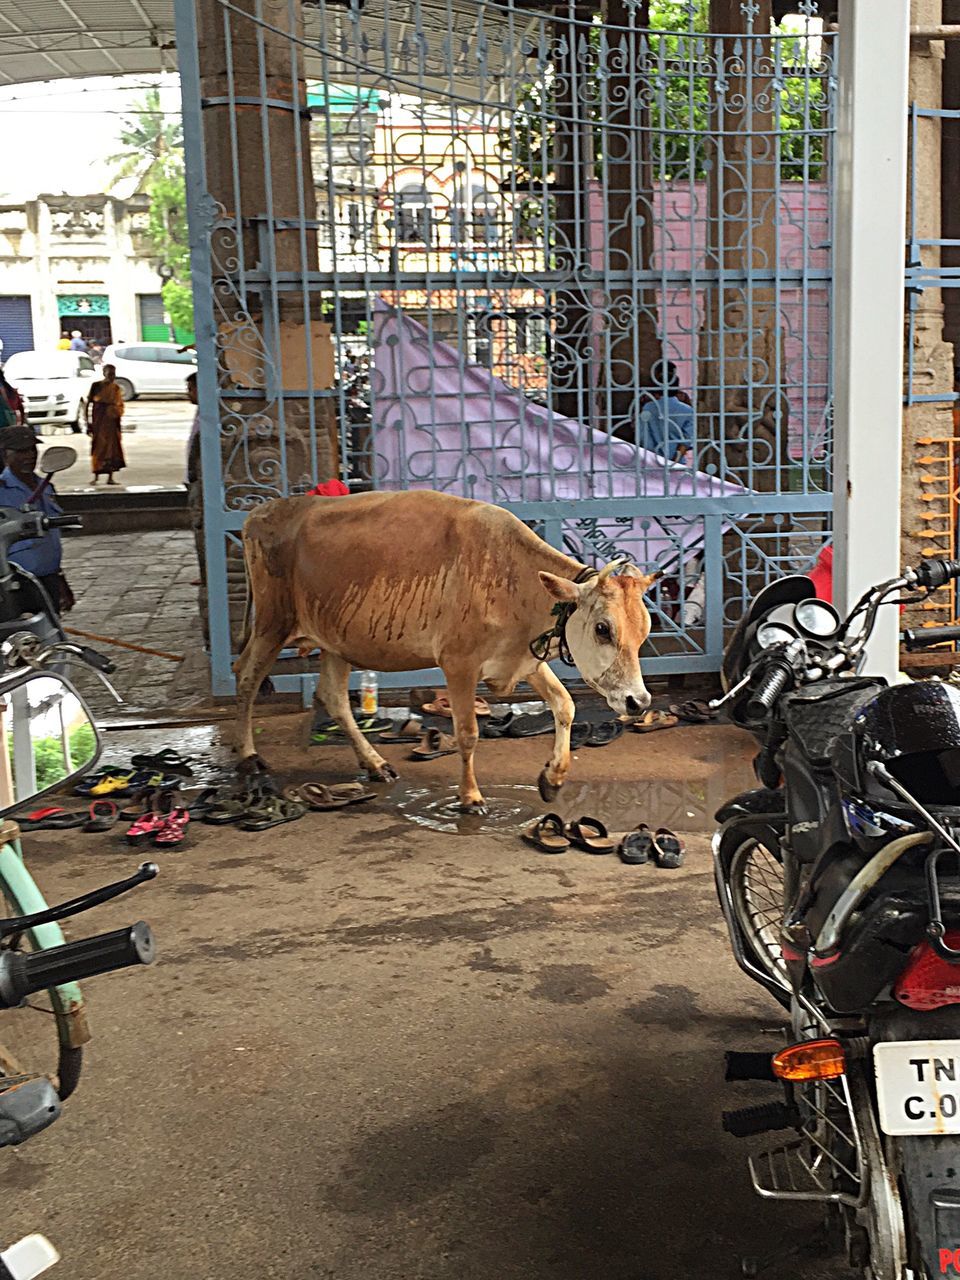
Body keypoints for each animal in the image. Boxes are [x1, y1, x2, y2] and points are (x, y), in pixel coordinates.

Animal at [235, 488, 660, 808]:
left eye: (644, 631)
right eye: (603, 629)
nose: (639, 702)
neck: (511, 576)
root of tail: (261, 512)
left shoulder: (523, 658)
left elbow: (565, 706)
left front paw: (553, 779)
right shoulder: (458, 664)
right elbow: (468, 732)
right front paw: (470, 796)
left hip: (335, 642)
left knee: (333, 697)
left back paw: (375, 764)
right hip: (272, 623)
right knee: (246, 678)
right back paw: (249, 756)